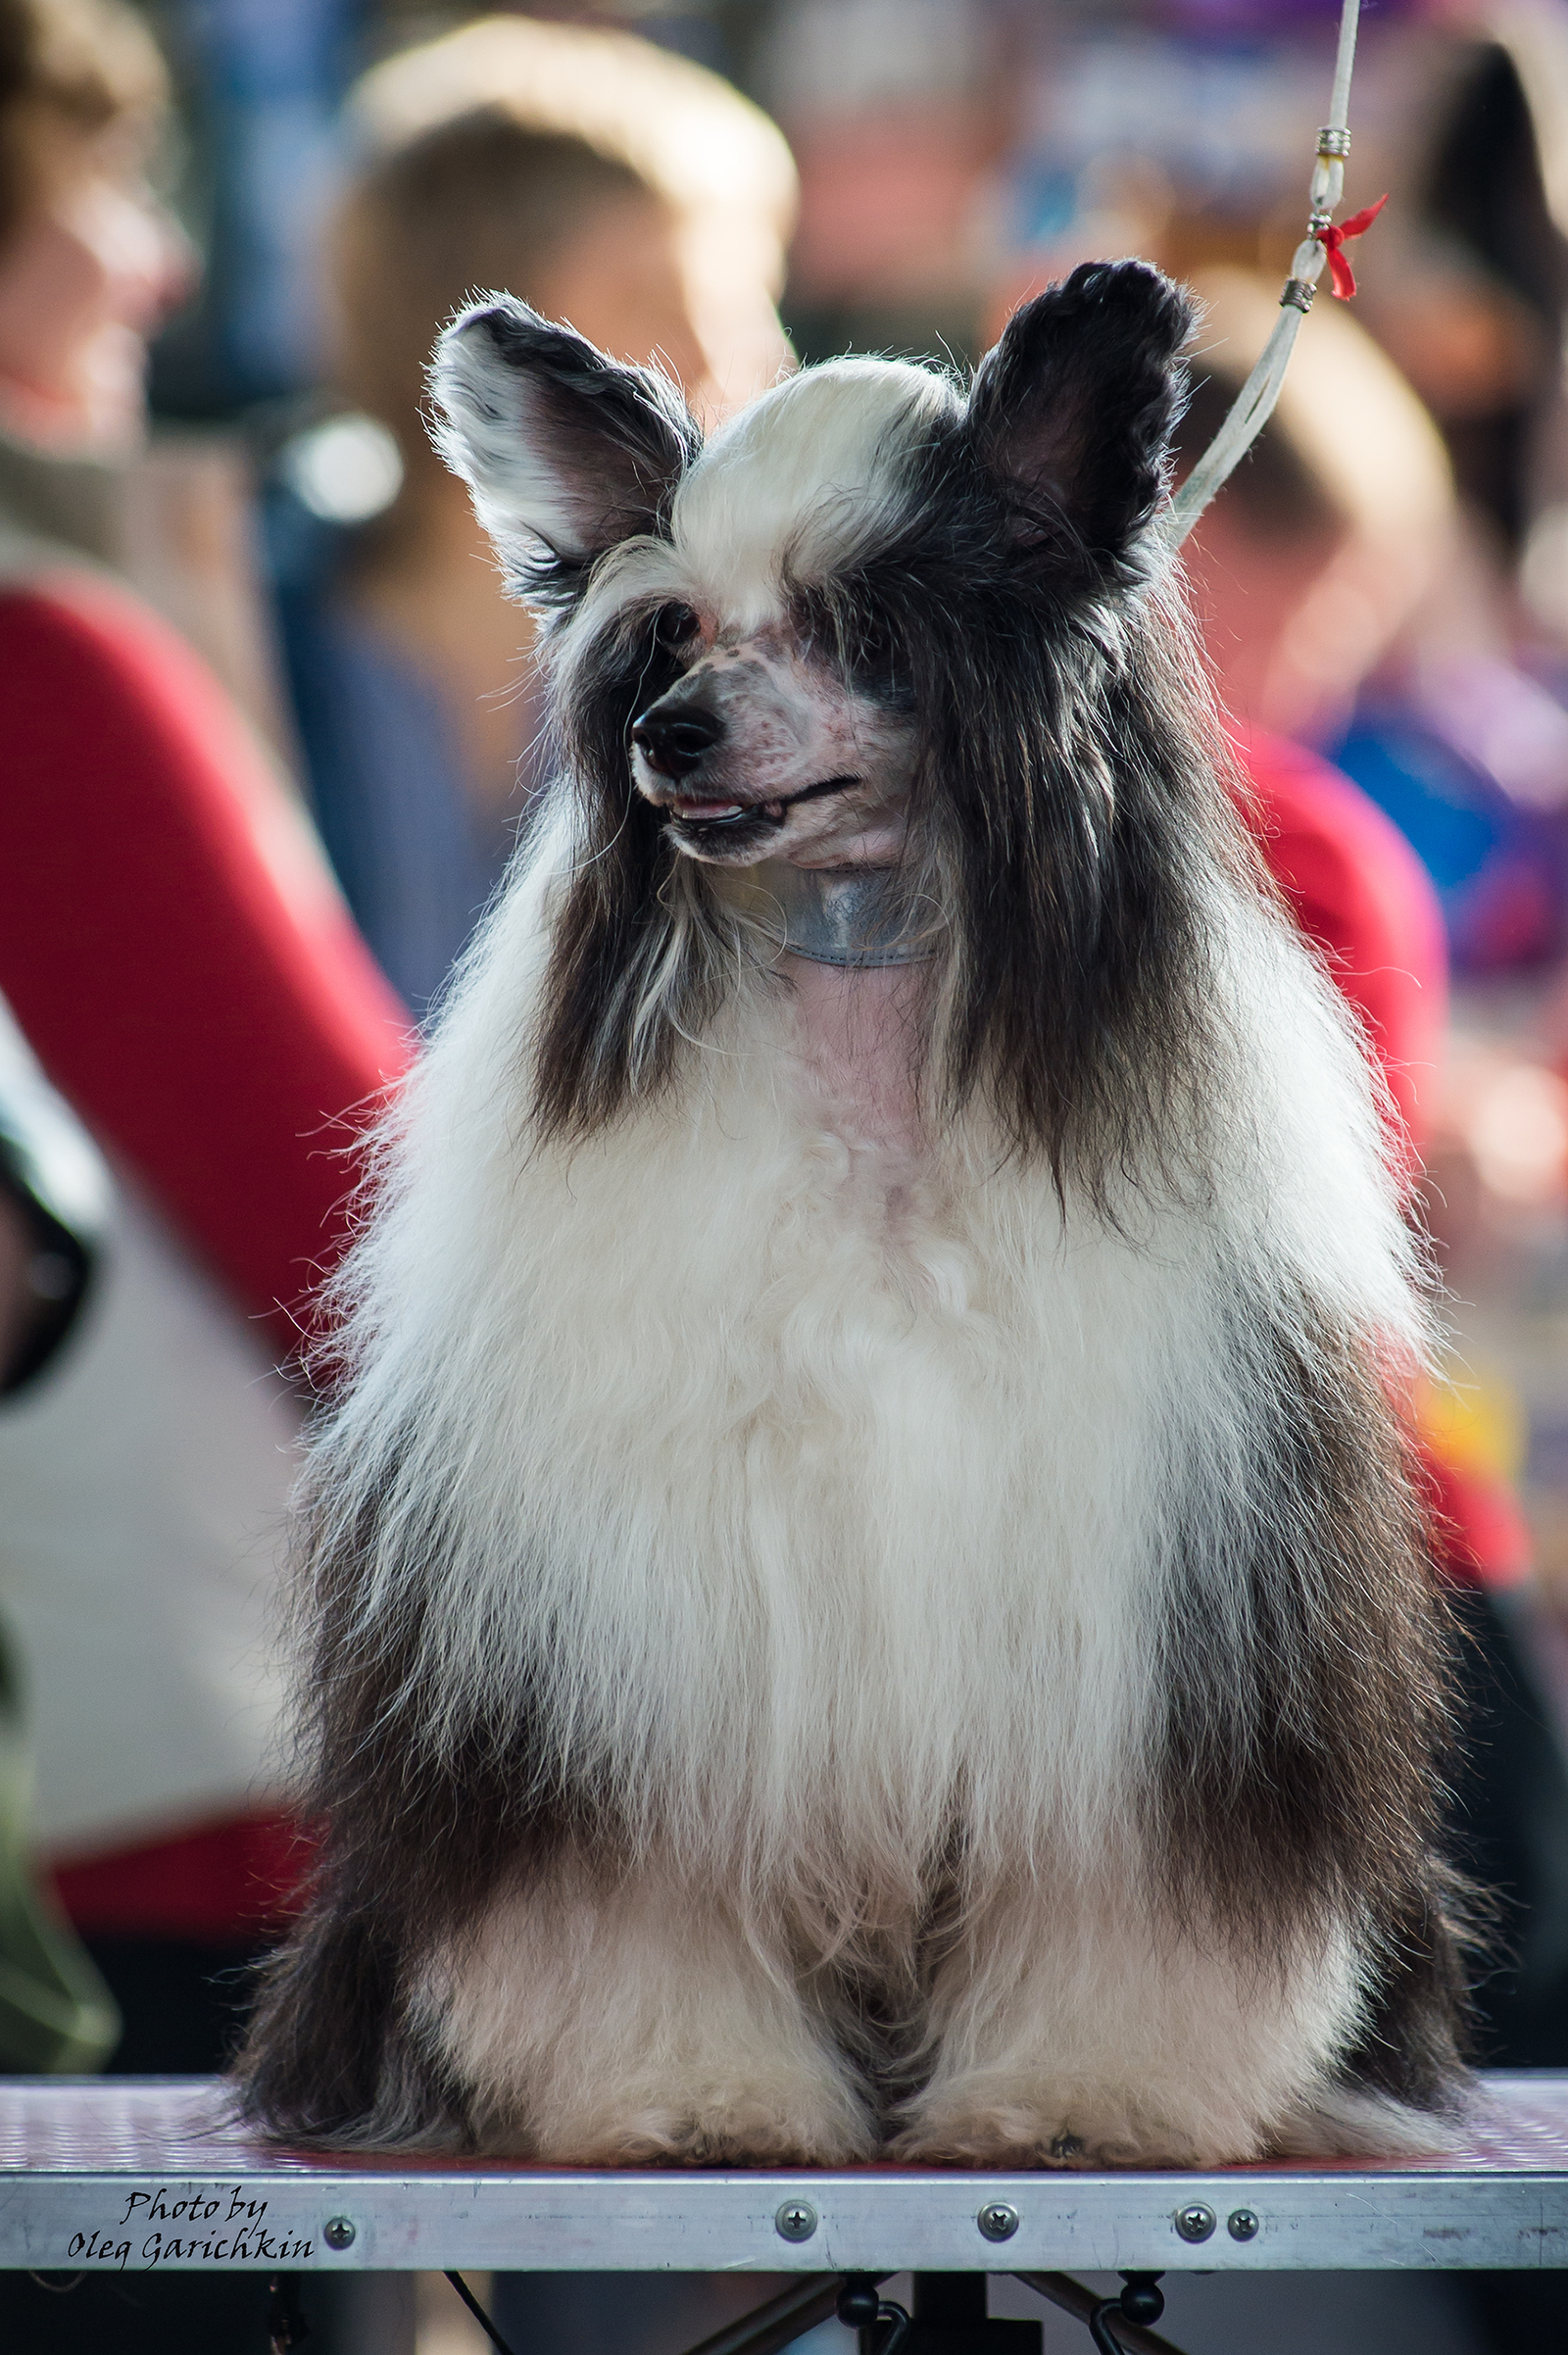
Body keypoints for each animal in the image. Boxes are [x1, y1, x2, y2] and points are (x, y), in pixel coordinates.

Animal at [237, 267, 1459, 2157]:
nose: (672, 732)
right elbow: (633, 1908)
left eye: (867, 628)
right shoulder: (639, 1640)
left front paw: (1080, 2094)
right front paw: (696, 2095)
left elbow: (1126, 1905)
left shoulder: (1126, 1632)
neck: (875, 1096)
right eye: (670, 636)